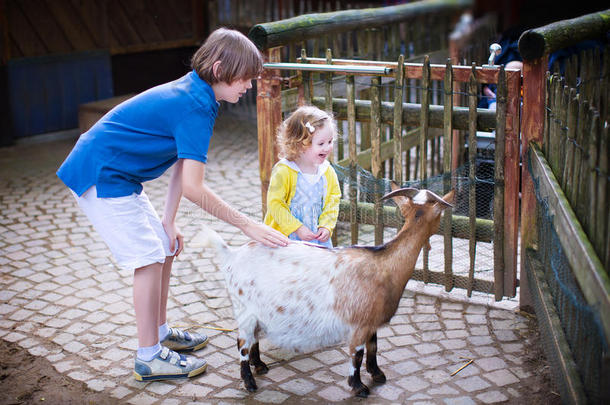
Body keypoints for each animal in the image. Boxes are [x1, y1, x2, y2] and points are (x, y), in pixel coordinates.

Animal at [195, 186, 452, 394]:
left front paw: (378, 374)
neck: (383, 264)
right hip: (244, 310)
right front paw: (358, 387)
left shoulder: (371, 321)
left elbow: (374, 346)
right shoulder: (359, 324)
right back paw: (249, 383)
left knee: (253, 339)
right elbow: (357, 354)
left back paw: (259, 366)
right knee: (242, 343)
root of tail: (232, 254)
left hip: (258, 311)